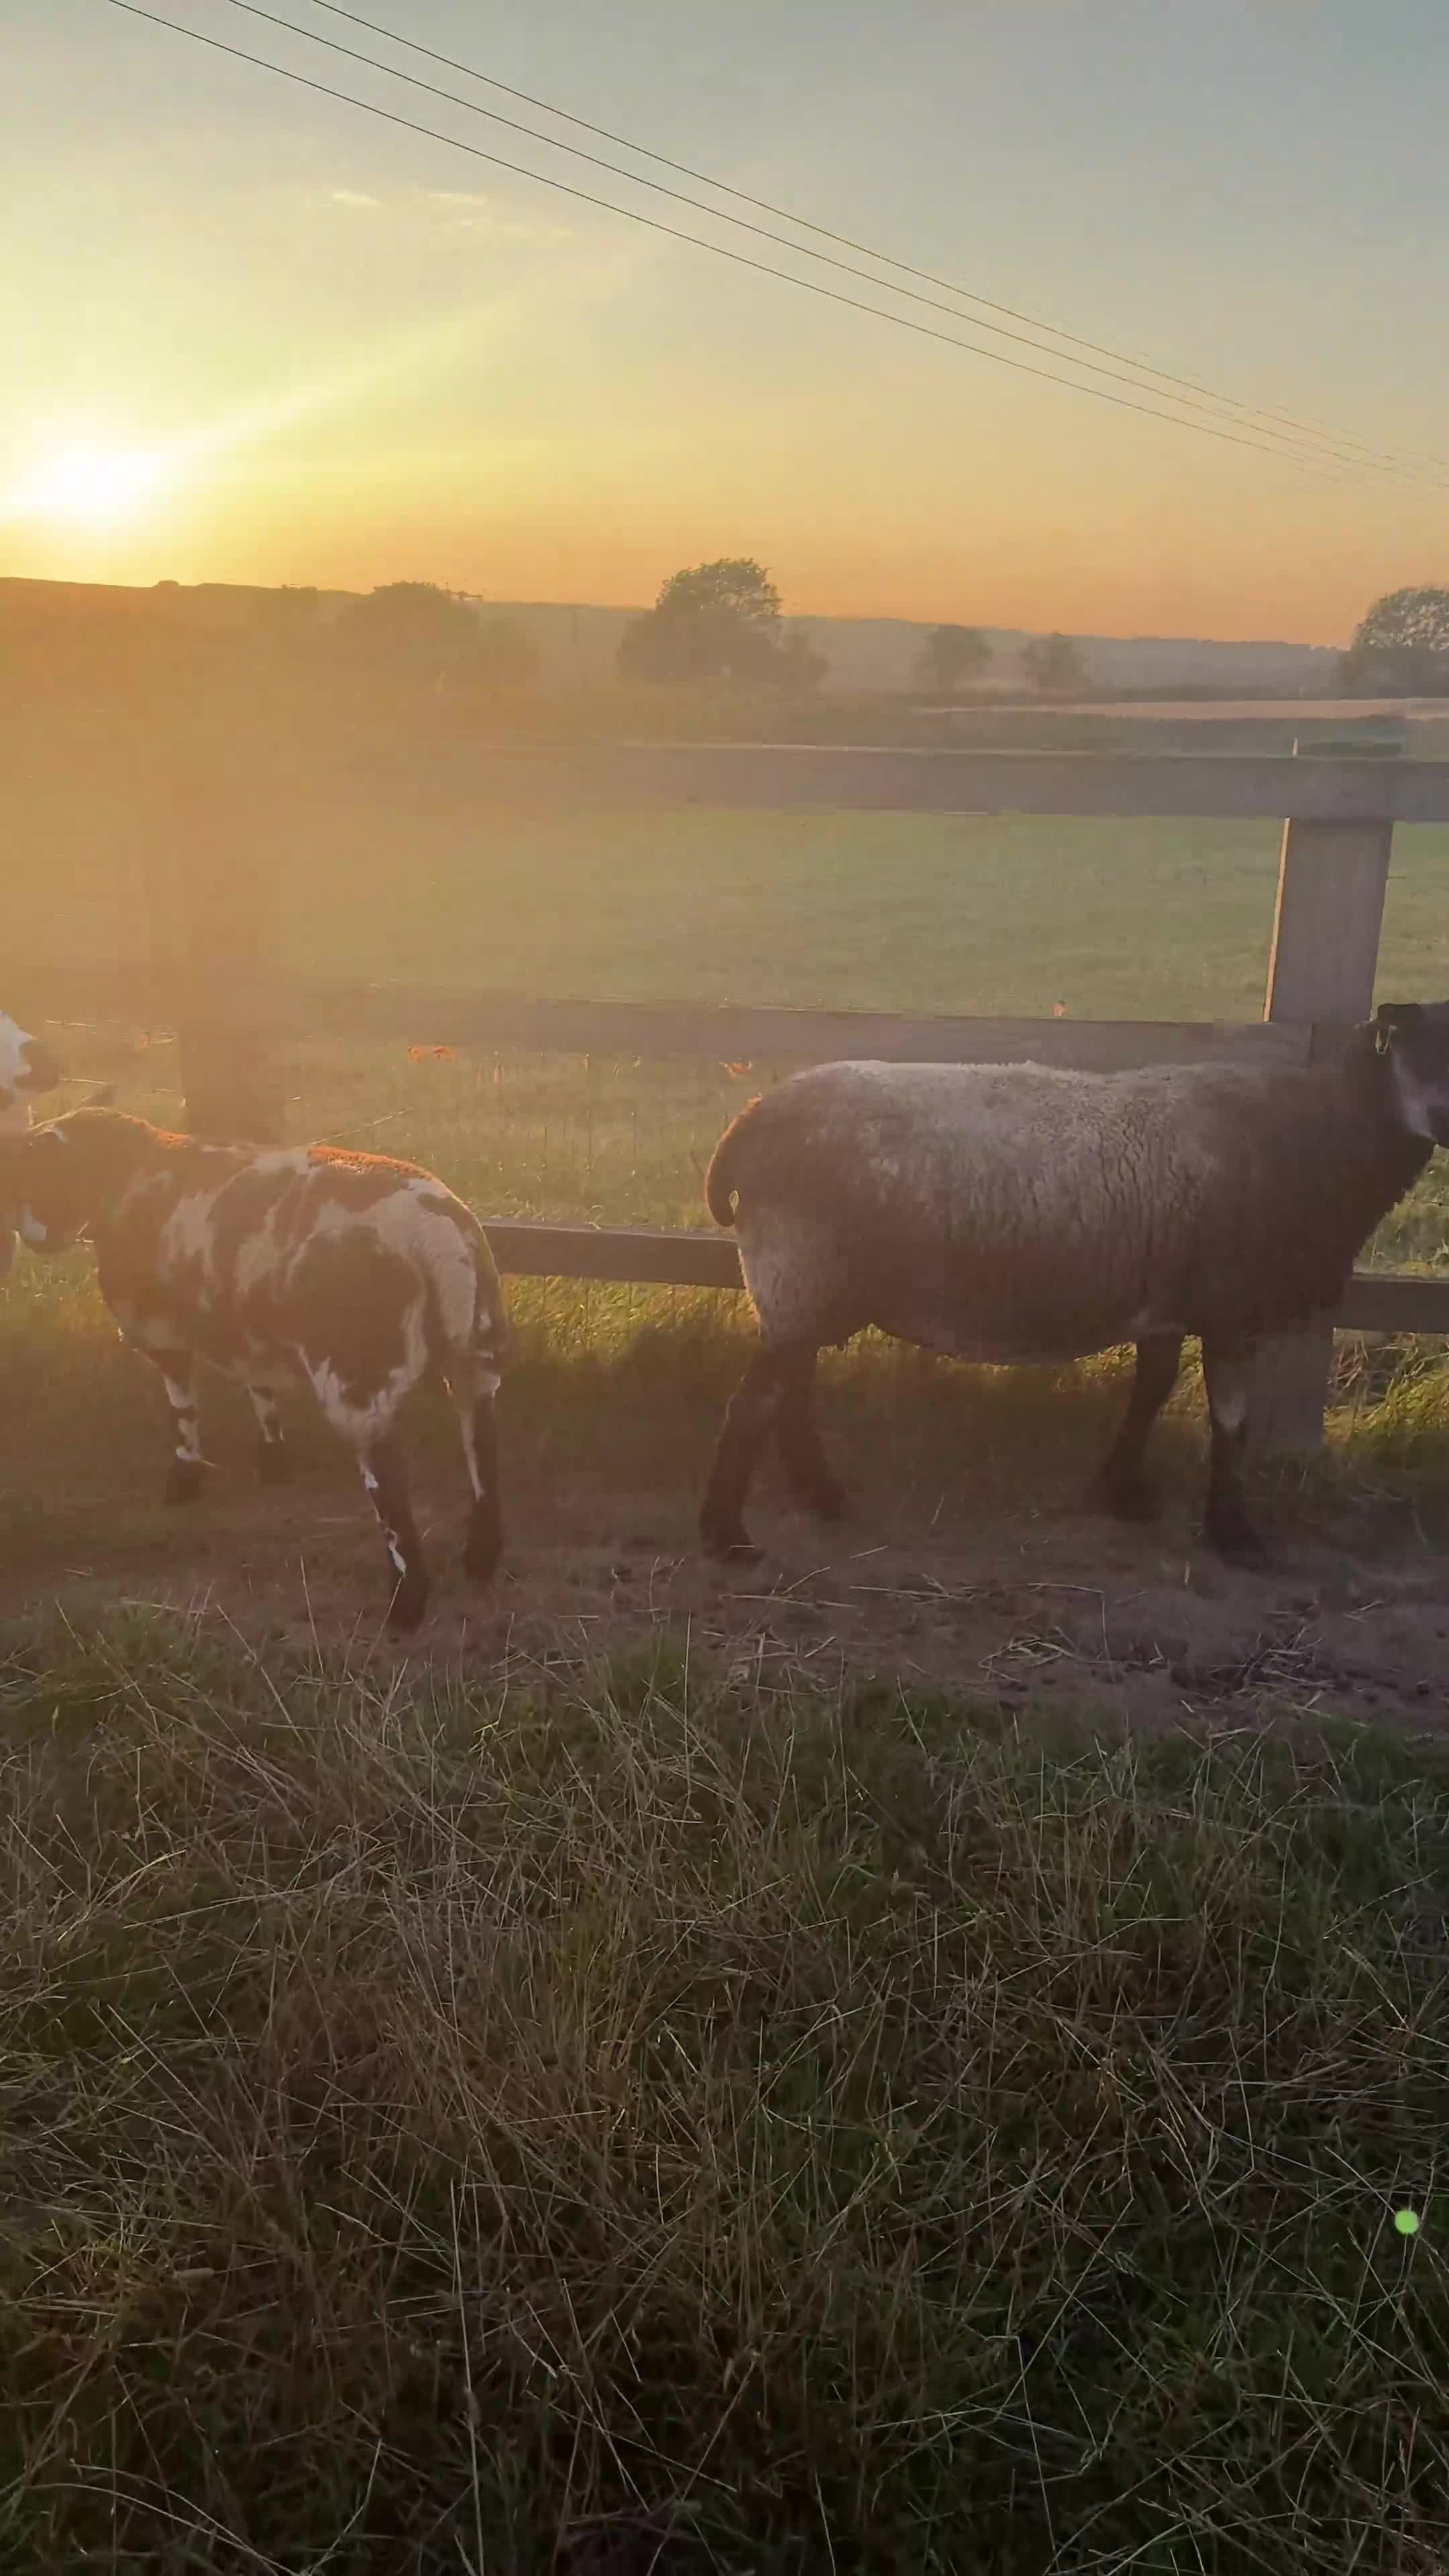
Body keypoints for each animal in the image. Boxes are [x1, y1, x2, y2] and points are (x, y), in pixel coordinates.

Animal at [0, 1108, 507, 1630]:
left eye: (36, 1174)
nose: (28, 1238)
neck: (126, 1178)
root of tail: (434, 1235)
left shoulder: (161, 1333)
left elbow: (183, 1409)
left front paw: (185, 1478)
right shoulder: (250, 1328)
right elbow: (261, 1389)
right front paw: (273, 1459)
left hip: (357, 1380)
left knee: (391, 1493)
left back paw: (407, 1603)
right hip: (476, 1360)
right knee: (483, 1453)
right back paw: (481, 1556)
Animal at [697, 1001, 1449, 1564]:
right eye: (1422, 1045)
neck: (1319, 1141)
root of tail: (749, 1122)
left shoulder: (1167, 1297)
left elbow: (1152, 1390)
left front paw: (1126, 1493)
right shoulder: (1231, 1305)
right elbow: (1229, 1423)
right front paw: (1233, 1533)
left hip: (811, 1284)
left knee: (792, 1394)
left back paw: (821, 1496)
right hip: (800, 1269)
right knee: (753, 1403)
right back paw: (726, 1535)